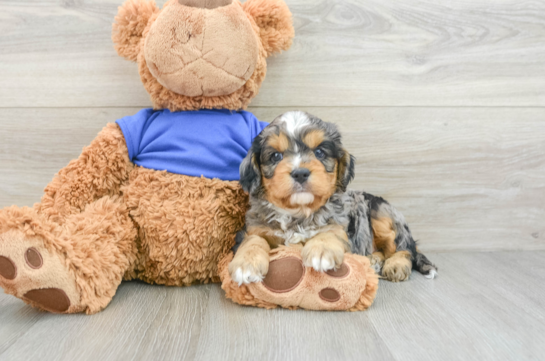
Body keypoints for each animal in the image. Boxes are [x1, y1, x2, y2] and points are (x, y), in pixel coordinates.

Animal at [227, 111, 436, 286]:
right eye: (276, 156)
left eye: (319, 152)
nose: (300, 173)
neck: (299, 212)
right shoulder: (255, 227)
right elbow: (253, 240)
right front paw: (246, 263)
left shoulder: (342, 226)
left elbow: (330, 231)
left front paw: (321, 250)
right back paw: (373, 260)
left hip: (382, 214)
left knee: (406, 248)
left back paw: (396, 264)